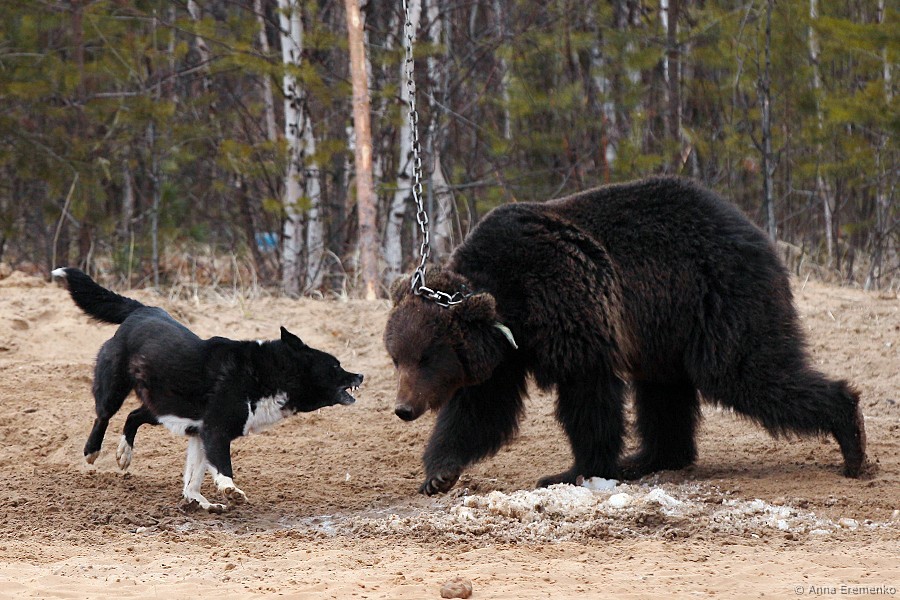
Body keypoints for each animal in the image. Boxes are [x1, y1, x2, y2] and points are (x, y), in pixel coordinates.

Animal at [53, 267, 363, 512]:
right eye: (335, 365)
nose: (360, 374)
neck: (268, 374)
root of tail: (143, 310)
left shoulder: (200, 431)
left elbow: (194, 477)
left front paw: (201, 501)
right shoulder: (215, 431)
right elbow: (223, 467)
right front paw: (230, 491)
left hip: (166, 406)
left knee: (133, 416)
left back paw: (125, 455)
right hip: (116, 388)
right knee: (104, 415)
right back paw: (92, 451)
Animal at [384, 176, 867, 495]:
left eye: (427, 357)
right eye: (397, 357)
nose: (404, 408)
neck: (510, 299)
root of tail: (754, 230)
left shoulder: (569, 309)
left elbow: (588, 398)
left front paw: (572, 470)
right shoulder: (508, 351)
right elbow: (481, 409)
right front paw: (439, 473)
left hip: (720, 295)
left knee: (745, 370)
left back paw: (852, 442)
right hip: (667, 329)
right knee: (665, 392)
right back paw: (650, 458)